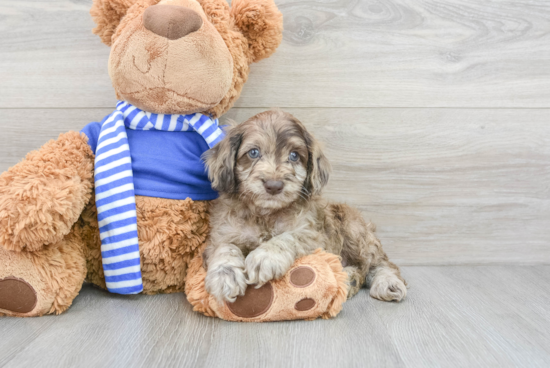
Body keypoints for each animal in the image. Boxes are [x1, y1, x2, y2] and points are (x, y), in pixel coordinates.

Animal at [204, 110, 410, 304]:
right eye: (253, 152)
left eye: (294, 156)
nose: (273, 185)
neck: (266, 214)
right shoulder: (223, 233)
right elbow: (224, 247)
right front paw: (225, 275)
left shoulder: (315, 237)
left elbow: (289, 237)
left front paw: (265, 257)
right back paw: (349, 278)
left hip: (353, 228)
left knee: (379, 263)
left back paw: (387, 282)